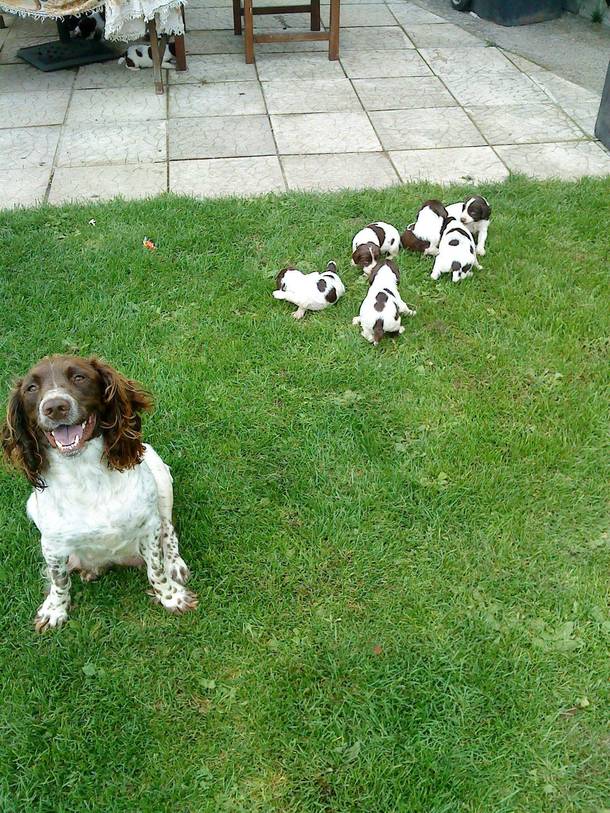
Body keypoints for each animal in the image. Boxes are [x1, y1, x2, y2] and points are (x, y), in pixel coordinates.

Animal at [1, 356, 196, 636]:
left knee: (168, 527)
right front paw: (55, 610)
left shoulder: (148, 527)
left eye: (79, 377)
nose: (55, 407)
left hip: (159, 471)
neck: (84, 473)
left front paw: (171, 597)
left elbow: (156, 570)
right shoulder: (52, 544)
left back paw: (175, 564)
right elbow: (59, 580)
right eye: (31, 388)